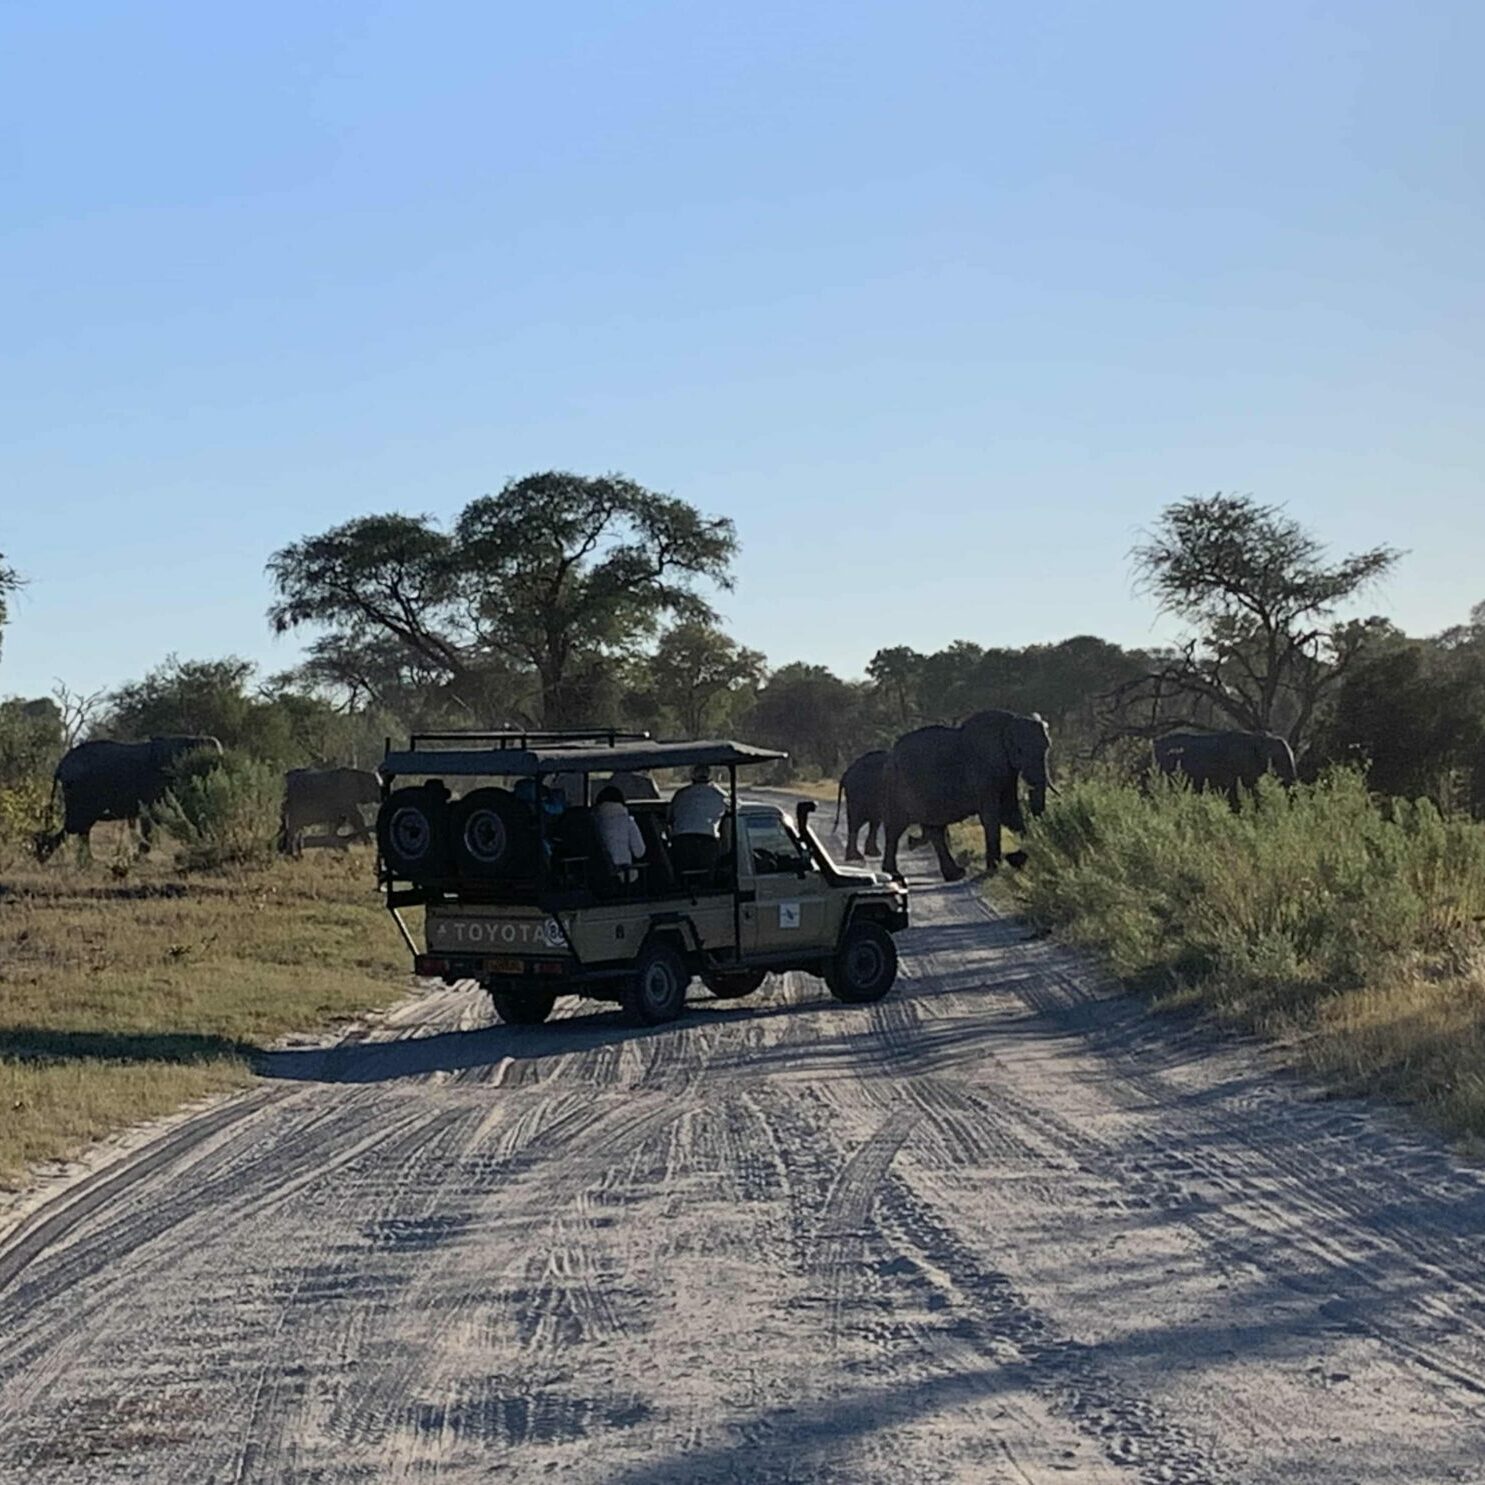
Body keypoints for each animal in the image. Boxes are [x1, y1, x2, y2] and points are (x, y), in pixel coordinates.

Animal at [879, 709, 1057, 879]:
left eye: (1047, 747)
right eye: (1019, 750)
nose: (1012, 856)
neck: (1009, 722)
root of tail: (890, 756)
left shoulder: (1005, 772)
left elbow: (1009, 812)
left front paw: (1017, 860)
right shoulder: (984, 771)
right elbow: (993, 816)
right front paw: (994, 869)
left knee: (934, 829)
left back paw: (953, 873)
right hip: (898, 787)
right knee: (896, 828)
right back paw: (893, 871)